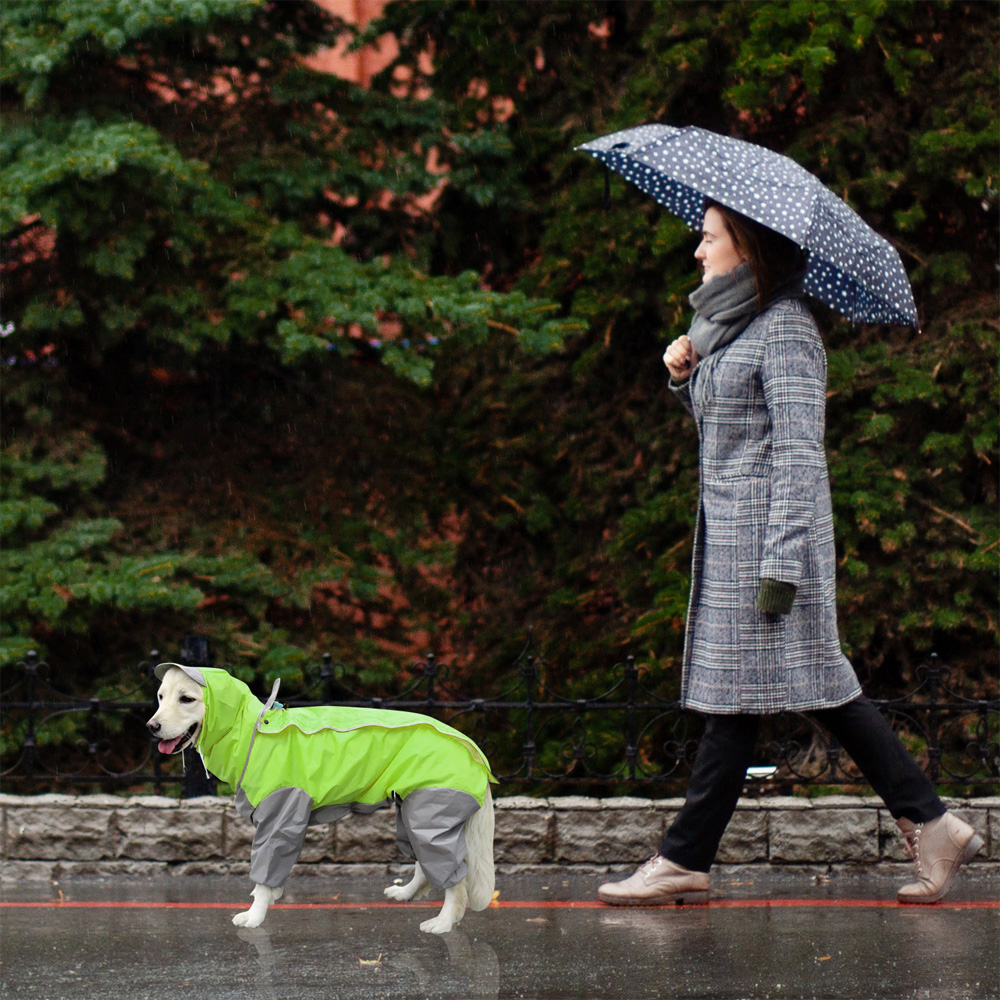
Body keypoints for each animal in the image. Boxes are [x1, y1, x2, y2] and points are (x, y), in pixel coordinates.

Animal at [146, 660, 494, 932]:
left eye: (187, 699)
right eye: (161, 697)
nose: (151, 726)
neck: (252, 731)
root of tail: (474, 748)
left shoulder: (279, 815)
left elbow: (264, 869)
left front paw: (255, 915)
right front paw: (270, 897)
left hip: (429, 813)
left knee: (454, 877)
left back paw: (444, 922)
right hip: (411, 812)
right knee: (426, 862)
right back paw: (407, 894)